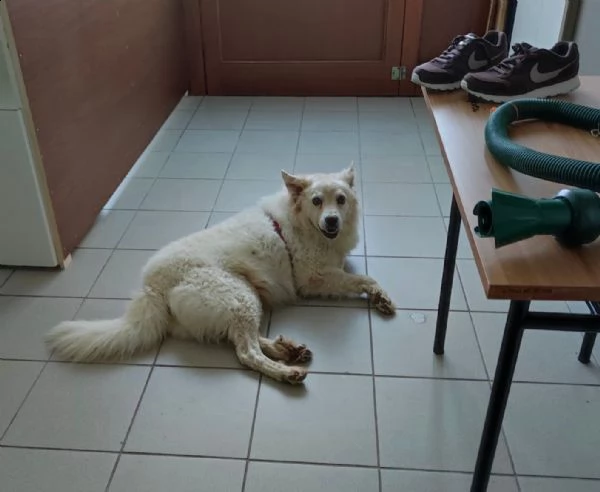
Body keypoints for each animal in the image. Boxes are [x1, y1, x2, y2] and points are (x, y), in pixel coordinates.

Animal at [45, 165, 394, 384]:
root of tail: (152, 286)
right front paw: (381, 296)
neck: (304, 225)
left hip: (243, 299)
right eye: (317, 201)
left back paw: (287, 350)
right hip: (239, 297)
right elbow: (364, 279)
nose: (332, 221)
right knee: (246, 352)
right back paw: (285, 372)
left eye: (341, 200)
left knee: (243, 339)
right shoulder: (313, 278)